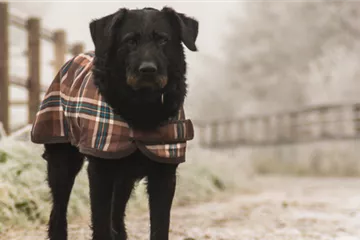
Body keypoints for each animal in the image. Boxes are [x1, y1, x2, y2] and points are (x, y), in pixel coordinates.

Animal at [35, 5, 197, 240]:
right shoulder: (101, 170)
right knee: (58, 211)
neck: (141, 107)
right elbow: (101, 220)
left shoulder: (164, 173)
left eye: (163, 40)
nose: (148, 69)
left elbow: (159, 225)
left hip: (124, 179)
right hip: (62, 163)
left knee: (117, 213)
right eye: (130, 41)